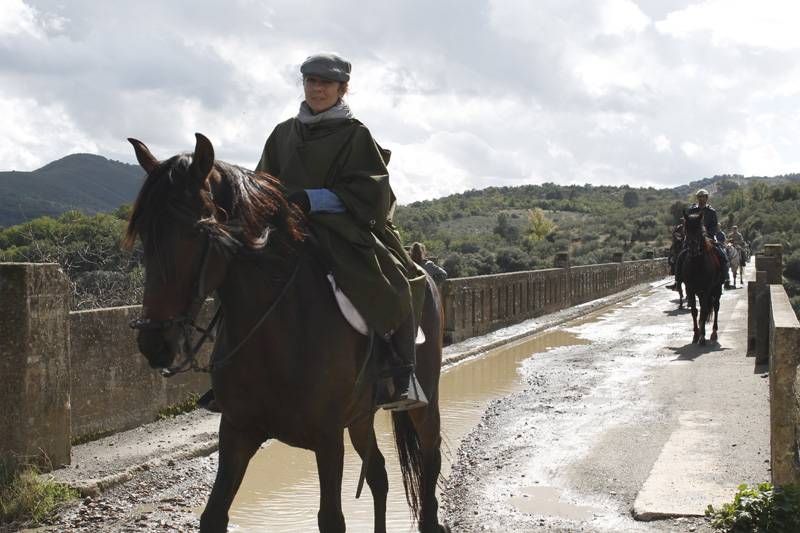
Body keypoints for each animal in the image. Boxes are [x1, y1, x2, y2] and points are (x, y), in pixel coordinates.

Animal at [125, 134, 450, 532]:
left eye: (196, 231)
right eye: (143, 232)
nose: (153, 342)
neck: (275, 332)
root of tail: (425, 272)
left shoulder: (327, 438)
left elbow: (331, 519)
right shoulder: (237, 431)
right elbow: (213, 515)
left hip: (424, 400)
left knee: (430, 453)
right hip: (361, 417)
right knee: (378, 473)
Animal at [680, 210, 720, 342]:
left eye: (699, 230)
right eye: (686, 229)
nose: (693, 249)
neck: (697, 264)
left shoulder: (706, 289)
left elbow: (704, 310)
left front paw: (702, 336)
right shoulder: (690, 289)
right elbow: (694, 310)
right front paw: (696, 334)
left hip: (717, 288)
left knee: (716, 307)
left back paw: (713, 332)